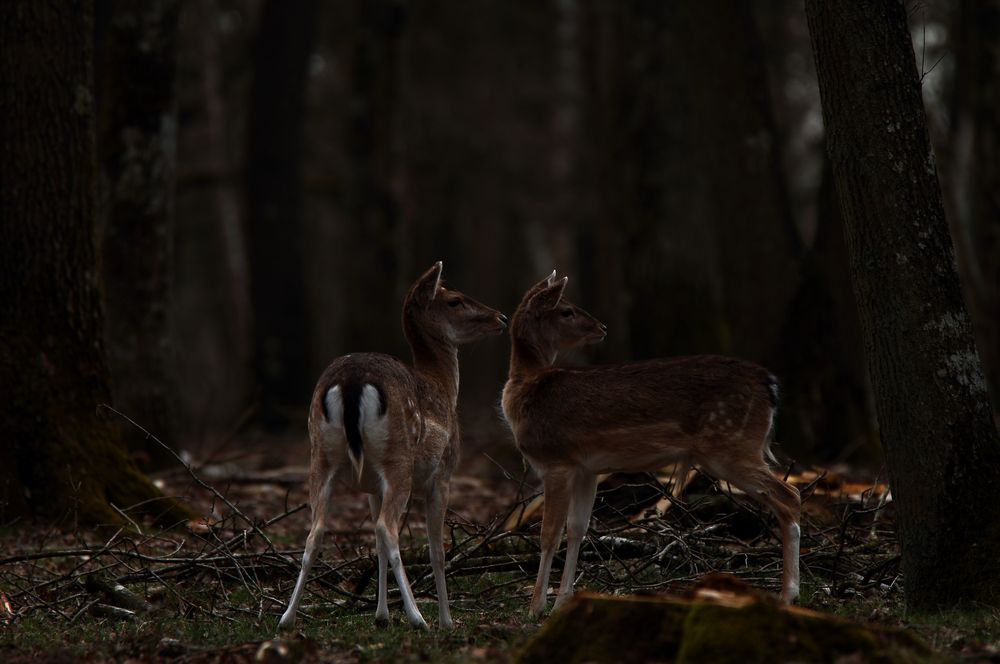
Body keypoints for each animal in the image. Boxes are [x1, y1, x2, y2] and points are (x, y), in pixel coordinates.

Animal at [280, 262, 508, 632]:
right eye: (455, 300)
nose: (501, 317)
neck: (444, 388)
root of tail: (352, 382)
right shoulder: (443, 474)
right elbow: (436, 551)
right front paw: (446, 621)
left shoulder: (372, 486)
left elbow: (374, 545)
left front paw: (381, 615)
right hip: (398, 460)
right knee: (388, 529)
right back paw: (418, 617)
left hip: (320, 456)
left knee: (317, 532)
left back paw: (286, 618)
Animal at [504, 272, 800, 616]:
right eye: (566, 310)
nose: (602, 327)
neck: (524, 390)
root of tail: (771, 385)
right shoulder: (585, 468)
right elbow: (577, 528)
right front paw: (562, 603)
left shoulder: (556, 460)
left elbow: (548, 533)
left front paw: (535, 608)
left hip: (731, 446)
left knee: (790, 495)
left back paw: (788, 595)